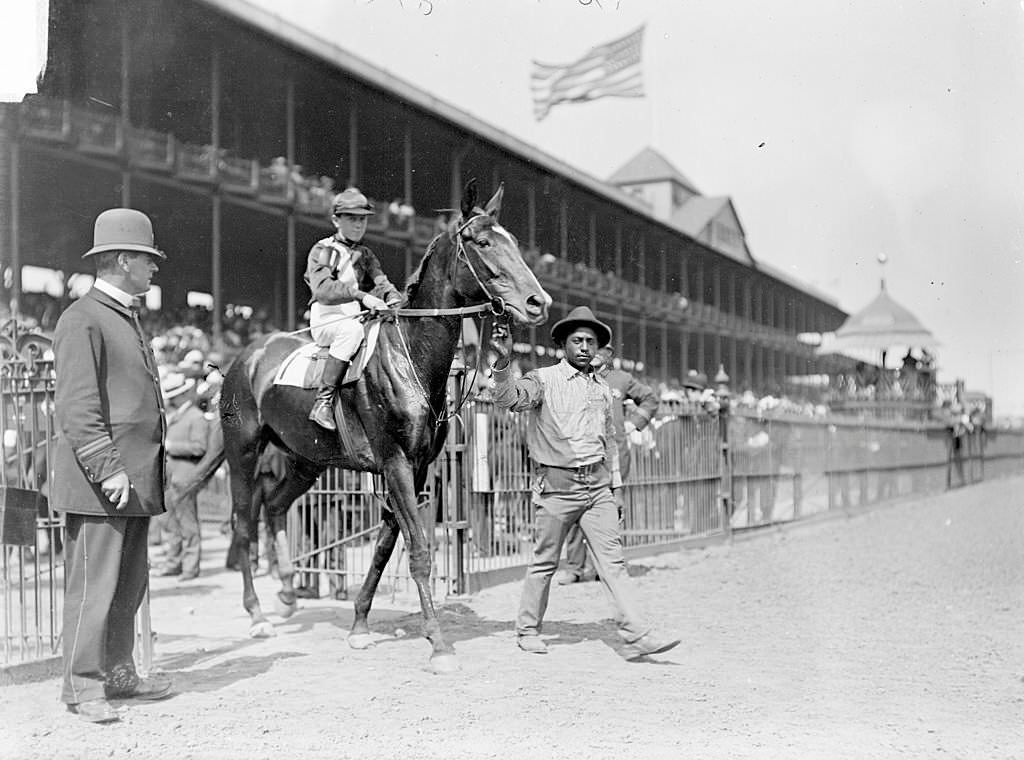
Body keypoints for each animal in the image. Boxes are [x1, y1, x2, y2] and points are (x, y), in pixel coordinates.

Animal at [210, 184, 548, 671]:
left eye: (516, 243)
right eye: (483, 243)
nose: (539, 303)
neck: (409, 357)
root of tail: (243, 359)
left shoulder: (417, 468)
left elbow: (386, 547)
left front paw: (359, 626)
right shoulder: (395, 462)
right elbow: (420, 550)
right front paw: (439, 644)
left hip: (305, 460)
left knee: (274, 507)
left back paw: (290, 591)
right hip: (244, 452)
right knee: (244, 524)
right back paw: (257, 615)